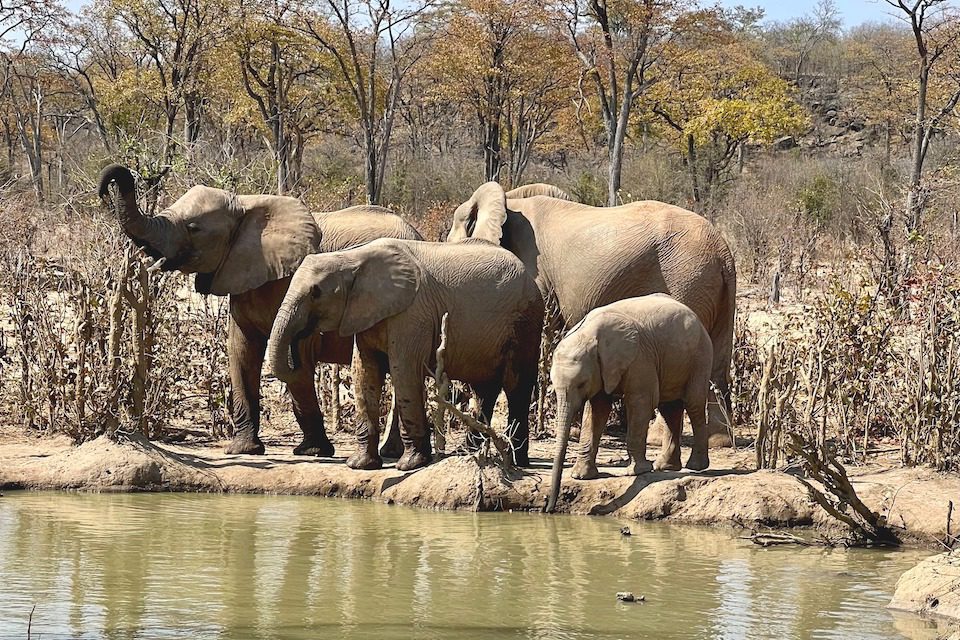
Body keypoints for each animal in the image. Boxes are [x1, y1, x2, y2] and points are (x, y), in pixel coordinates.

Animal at [97, 164, 422, 458]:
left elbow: (298, 359)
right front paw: (243, 450)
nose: (105, 188)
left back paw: (391, 452)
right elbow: (241, 353)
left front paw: (312, 451)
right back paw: (391, 451)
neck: (245, 205)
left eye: (193, 228)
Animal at [266, 238, 544, 471]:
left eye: (316, 292)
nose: (298, 349)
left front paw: (410, 465)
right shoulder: (365, 315)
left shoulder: (412, 314)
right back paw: (470, 453)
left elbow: (404, 371)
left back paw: (517, 461)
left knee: (517, 386)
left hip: (526, 321)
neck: (353, 258)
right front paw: (360, 465)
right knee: (484, 389)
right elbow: (364, 373)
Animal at [447, 182, 736, 445]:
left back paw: (657, 438)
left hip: (686, 281)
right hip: (712, 289)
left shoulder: (535, 273)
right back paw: (719, 440)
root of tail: (724, 252)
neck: (508, 199)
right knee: (715, 362)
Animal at [546, 295, 712, 512]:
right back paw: (665, 467)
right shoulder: (603, 369)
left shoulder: (639, 358)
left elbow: (641, 401)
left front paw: (636, 472)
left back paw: (695, 466)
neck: (589, 334)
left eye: (581, 384)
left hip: (699, 357)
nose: (548, 509)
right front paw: (581, 476)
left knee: (693, 404)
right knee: (670, 408)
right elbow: (597, 410)